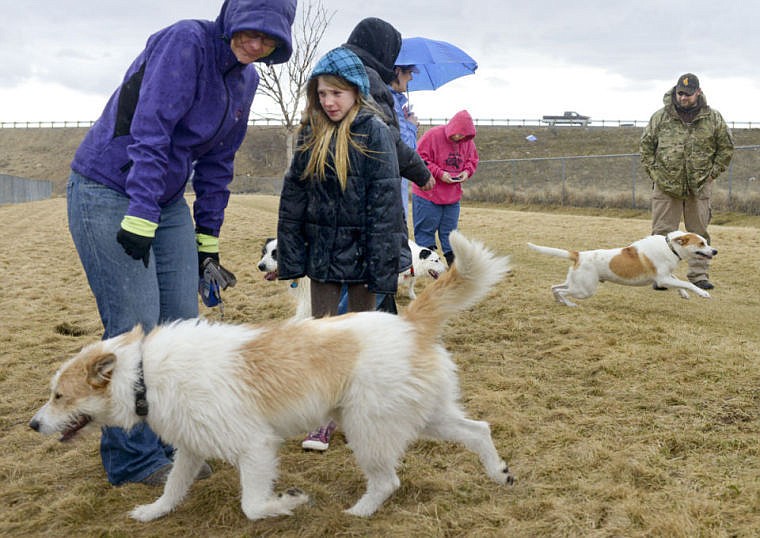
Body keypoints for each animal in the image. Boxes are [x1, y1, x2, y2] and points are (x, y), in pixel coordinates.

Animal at [32, 230, 512, 520]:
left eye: (59, 396)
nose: (33, 425)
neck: (144, 376)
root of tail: (408, 323)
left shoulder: (255, 447)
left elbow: (251, 504)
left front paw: (287, 503)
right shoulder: (191, 446)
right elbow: (173, 487)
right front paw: (152, 512)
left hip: (368, 427)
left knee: (388, 480)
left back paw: (358, 512)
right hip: (424, 415)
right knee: (479, 429)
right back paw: (499, 473)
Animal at [528, 228, 720, 306]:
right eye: (701, 243)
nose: (715, 251)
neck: (670, 246)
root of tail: (579, 255)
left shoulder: (665, 276)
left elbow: (679, 281)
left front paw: (684, 294)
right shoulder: (662, 278)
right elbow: (686, 282)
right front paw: (701, 293)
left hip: (576, 283)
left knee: (554, 288)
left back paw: (560, 302)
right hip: (584, 290)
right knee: (561, 291)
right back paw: (569, 304)